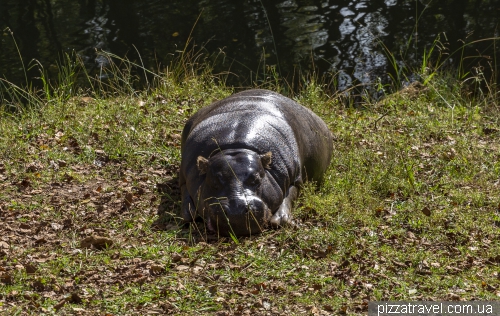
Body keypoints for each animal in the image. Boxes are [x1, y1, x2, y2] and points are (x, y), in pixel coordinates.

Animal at [178, 87, 334, 236]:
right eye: (214, 182)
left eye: (257, 179)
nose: (236, 212)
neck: (235, 147)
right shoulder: (186, 177)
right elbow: (187, 211)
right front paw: (190, 212)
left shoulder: (296, 179)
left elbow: (289, 197)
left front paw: (283, 219)